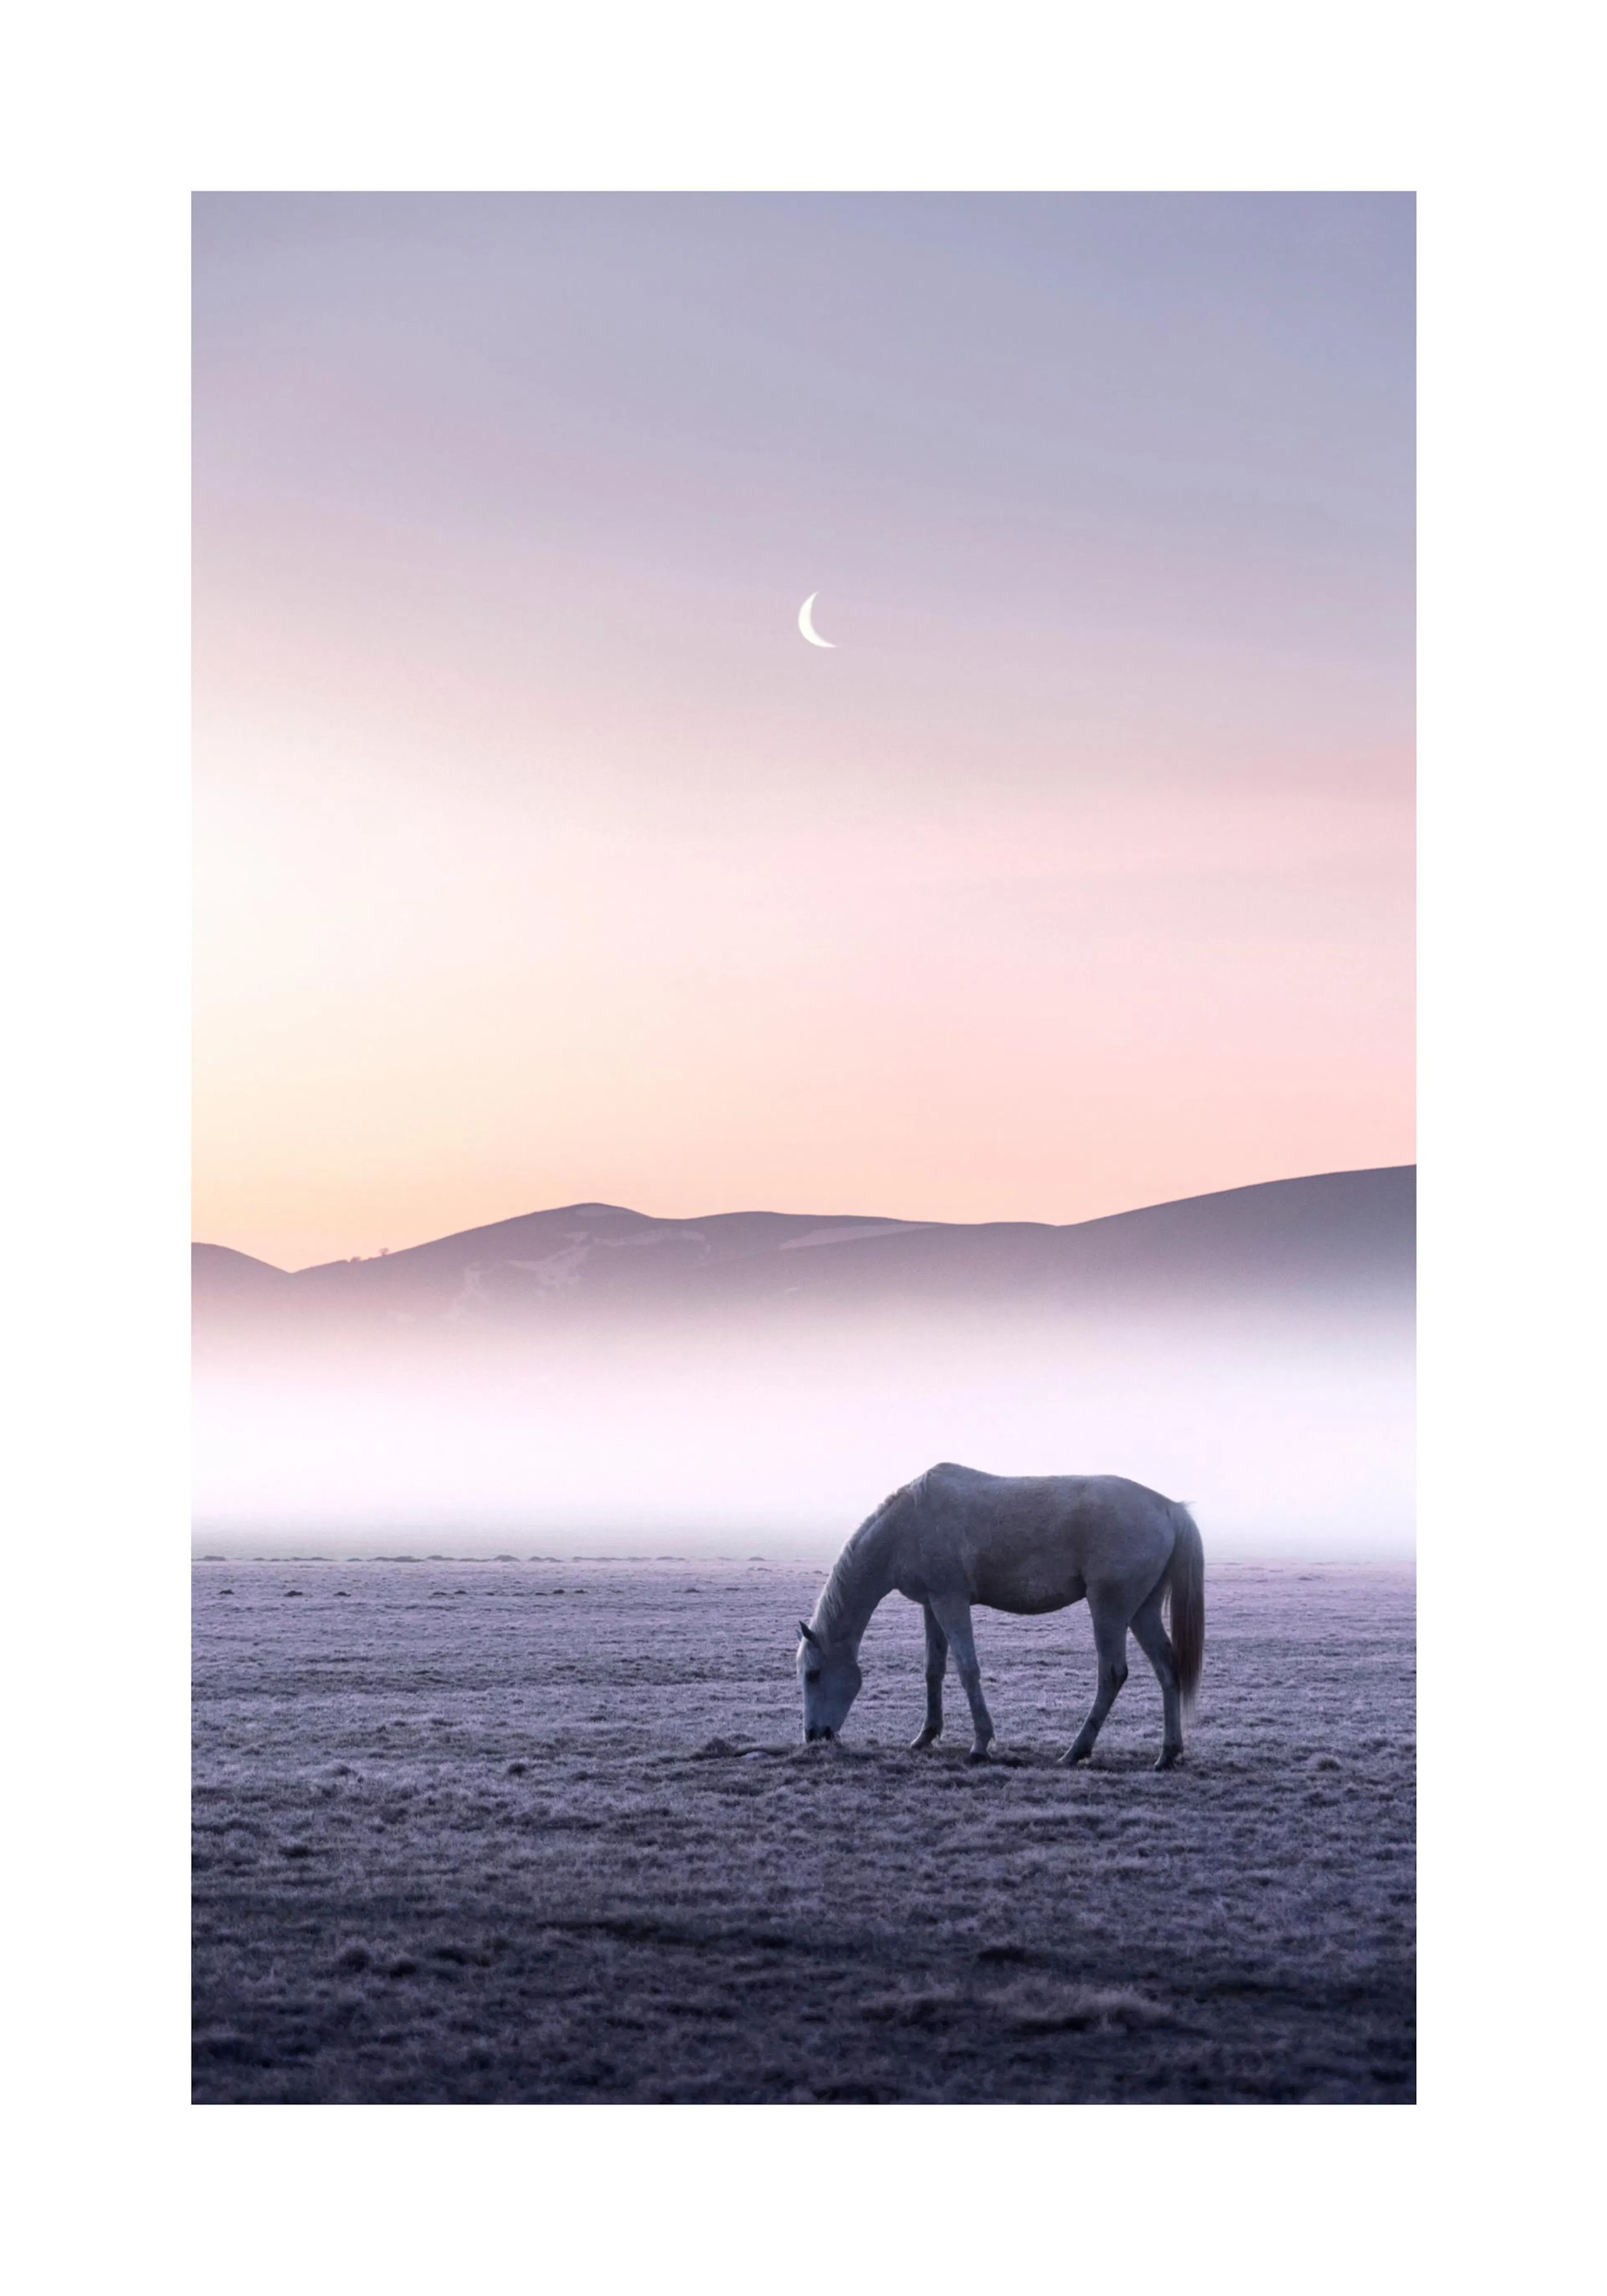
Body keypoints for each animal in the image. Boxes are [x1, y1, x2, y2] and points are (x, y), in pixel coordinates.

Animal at [795, 1462, 1204, 1770]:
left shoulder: (951, 1601)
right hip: (1142, 1611)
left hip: (1109, 1609)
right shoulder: (932, 1604)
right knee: (1168, 1669)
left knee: (1112, 1674)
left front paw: (980, 1745)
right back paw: (1167, 1754)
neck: (907, 1525)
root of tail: (1168, 1507)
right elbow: (934, 1670)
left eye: (813, 1674)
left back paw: (1075, 1752)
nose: (814, 1736)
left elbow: (967, 1669)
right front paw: (926, 1735)